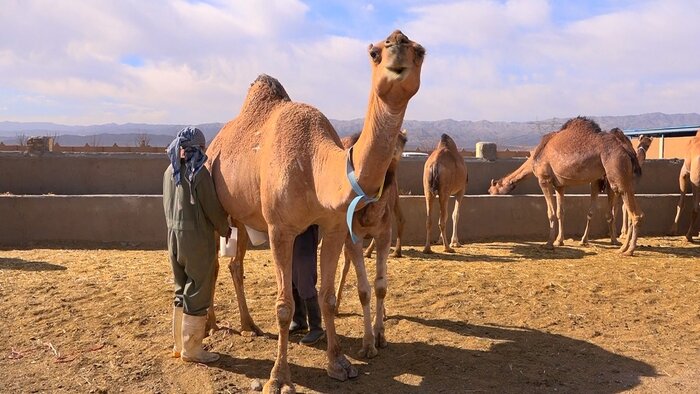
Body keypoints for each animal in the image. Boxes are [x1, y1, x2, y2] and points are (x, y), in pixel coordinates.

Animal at [202, 29, 422, 392]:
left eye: (421, 51)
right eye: (375, 53)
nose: (399, 47)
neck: (315, 164)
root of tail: (213, 144)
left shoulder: (334, 227)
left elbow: (328, 296)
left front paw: (339, 363)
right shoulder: (279, 229)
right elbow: (283, 305)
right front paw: (278, 379)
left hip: (243, 218)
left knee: (234, 263)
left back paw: (249, 325)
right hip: (214, 205)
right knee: (215, 263)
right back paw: (209, 325)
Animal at [528, 115, 644, 254]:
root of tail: (628, 151)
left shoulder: (544, 179)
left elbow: (551, 213)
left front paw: (549, 243)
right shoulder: (559, 185)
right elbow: (560, 212)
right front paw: (559, 241)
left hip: (617, 174)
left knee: (634, 213)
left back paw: (628, 250)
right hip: (627, 179)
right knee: (636, 212)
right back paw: (623, 247)